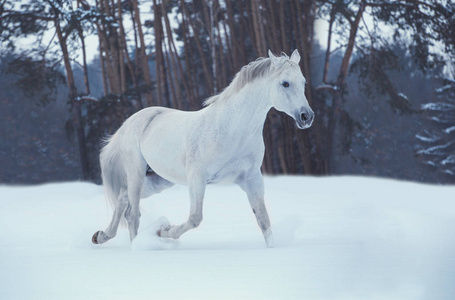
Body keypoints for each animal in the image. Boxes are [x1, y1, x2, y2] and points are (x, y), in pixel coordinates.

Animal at [91, 49, 314, 248]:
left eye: (303, 82)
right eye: (285, 83)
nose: (306, 116)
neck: (232, 131)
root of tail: (130, 122)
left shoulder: (252, 179)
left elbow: (264, 221)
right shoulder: (197, 178)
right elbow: (195, 218)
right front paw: (163, 231)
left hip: (158, 180)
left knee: (122, 198)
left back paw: (100, 236)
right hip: (137, 172)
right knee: (132, 213)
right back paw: (135, 245)